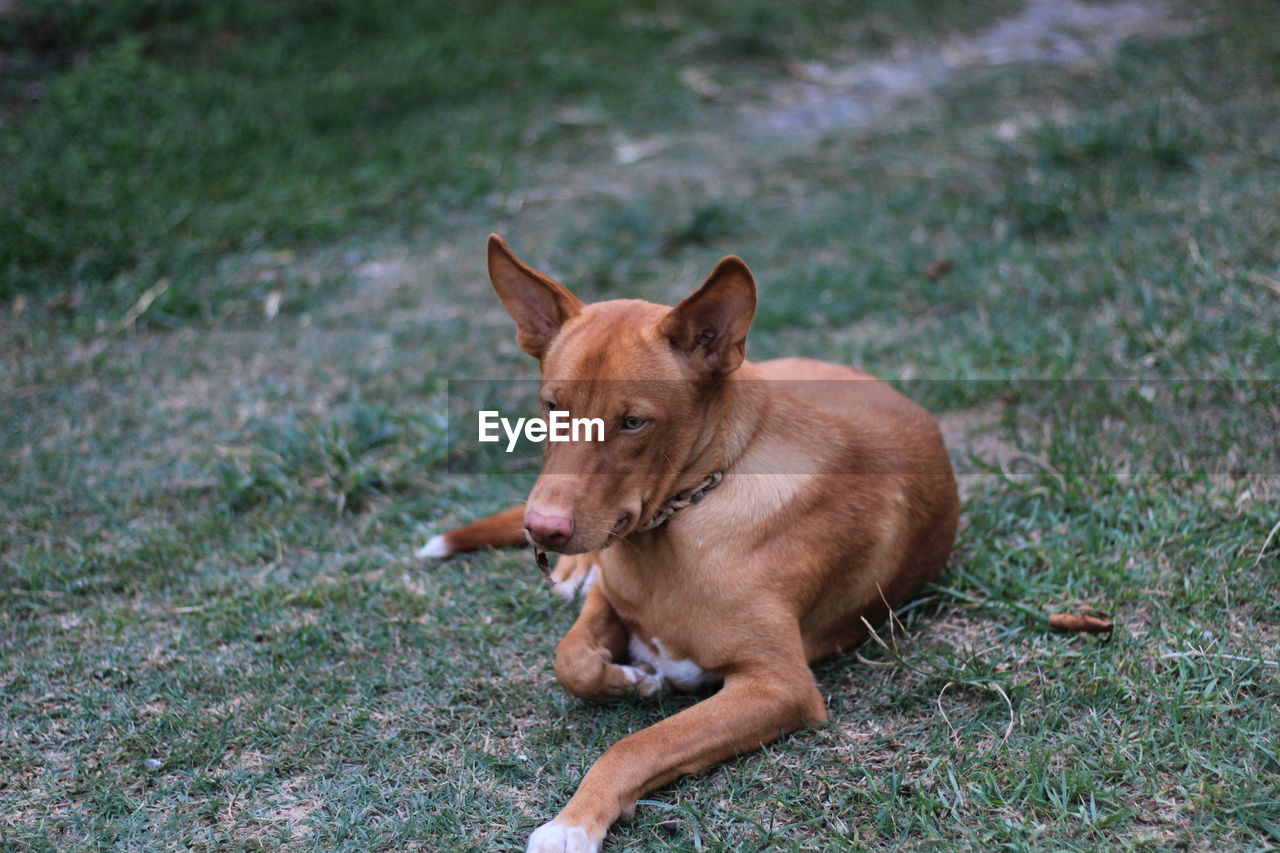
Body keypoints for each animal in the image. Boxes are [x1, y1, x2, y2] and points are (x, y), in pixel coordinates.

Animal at [422, 234, 962, 850]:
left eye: (633, 422)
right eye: (552, 408)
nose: (543, 528)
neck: (678, 523)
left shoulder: (779, 685)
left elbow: (637, 744)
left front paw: (572, 823)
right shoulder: (611, 593)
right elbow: (571, 660)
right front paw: (632, 678)